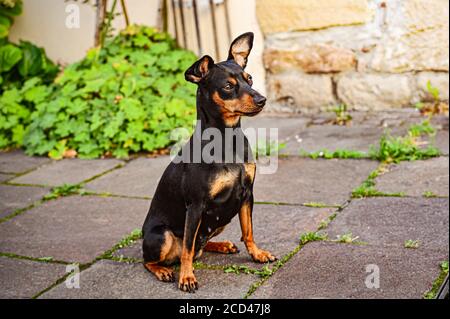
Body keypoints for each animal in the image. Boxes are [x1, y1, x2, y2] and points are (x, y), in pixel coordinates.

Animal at [142, 31, 276, 292]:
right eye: (228, 86)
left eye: (250, 79)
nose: (262, 99)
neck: (227, 139)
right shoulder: (196, 205)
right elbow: (187, 248)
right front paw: (186, 278)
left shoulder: (247, 195)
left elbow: (248, 231)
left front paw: (257, 254)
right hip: (161, 236)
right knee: (157, 257)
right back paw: (163, 270)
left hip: (221, 219)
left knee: (199, 244)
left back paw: (221, 245)